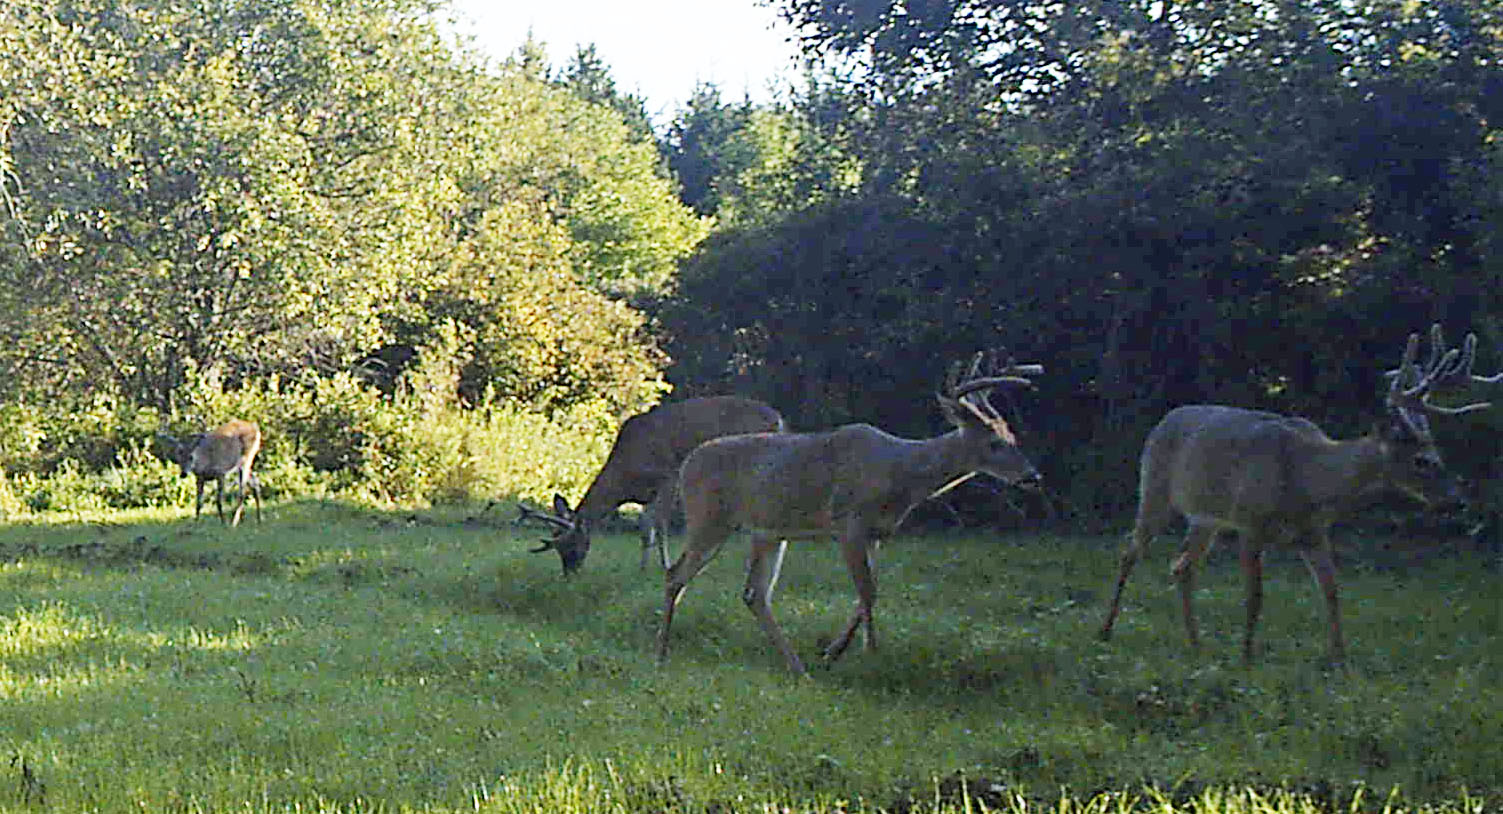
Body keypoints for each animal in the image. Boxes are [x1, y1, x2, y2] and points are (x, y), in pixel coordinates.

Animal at [518, 396, 786, 575]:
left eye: (572, 546)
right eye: (558, 549)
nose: (569, 574)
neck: (624, 478)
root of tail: (778, 418)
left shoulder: (668, 476)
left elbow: (660, 523)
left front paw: (665, 565)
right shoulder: (647, 495)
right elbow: (645, 526)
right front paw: (642, 567)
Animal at [655, 352, 1044, 675]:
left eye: (1011, 435)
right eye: (993, 444)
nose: (1032, 475)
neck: (899, 472)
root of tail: (686, 465)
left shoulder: (878, 534)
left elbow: (869, 591)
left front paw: (833, 652)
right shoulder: (849, 522)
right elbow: (868, 591)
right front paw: (870, 653)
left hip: (768, 532)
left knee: (753, 594)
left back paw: (798, 668)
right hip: (709, 518)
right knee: (676, 574)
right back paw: (662, 652)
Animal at [1098, 325, 1498, 666]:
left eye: (1438, 454)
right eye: (1421, 461)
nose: (1459, 500)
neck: (1309, 481)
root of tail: (1163, 421)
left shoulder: (1315, 532)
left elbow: (1332, 590)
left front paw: (1339, 658)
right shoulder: (1250, 522)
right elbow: (1255, 596)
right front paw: (1246, 656)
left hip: (1205, 517)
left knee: (1182, 566)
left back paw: (1196, 643)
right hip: (1155, 489)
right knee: (1130, 552)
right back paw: (1106, 630)